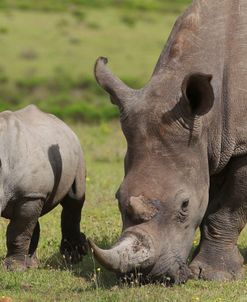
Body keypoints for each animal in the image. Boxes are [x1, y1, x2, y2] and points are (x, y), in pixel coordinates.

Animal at [0, 105, 87, 270]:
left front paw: (14, 268)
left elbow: (18, 231)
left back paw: (73, 258)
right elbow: (24, 226)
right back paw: (32, 265)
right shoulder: (31, 193)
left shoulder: (30, 193)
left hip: (76, 153)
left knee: (74, 202)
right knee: (33, 219)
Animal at [89, 0, 247, 284]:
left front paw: (215, 275)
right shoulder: (211, 144)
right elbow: (209, 201)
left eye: (184, 205)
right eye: (117, 196)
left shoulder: (241, 144)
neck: (207, 121)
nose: (148, 276)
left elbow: (228, 209)